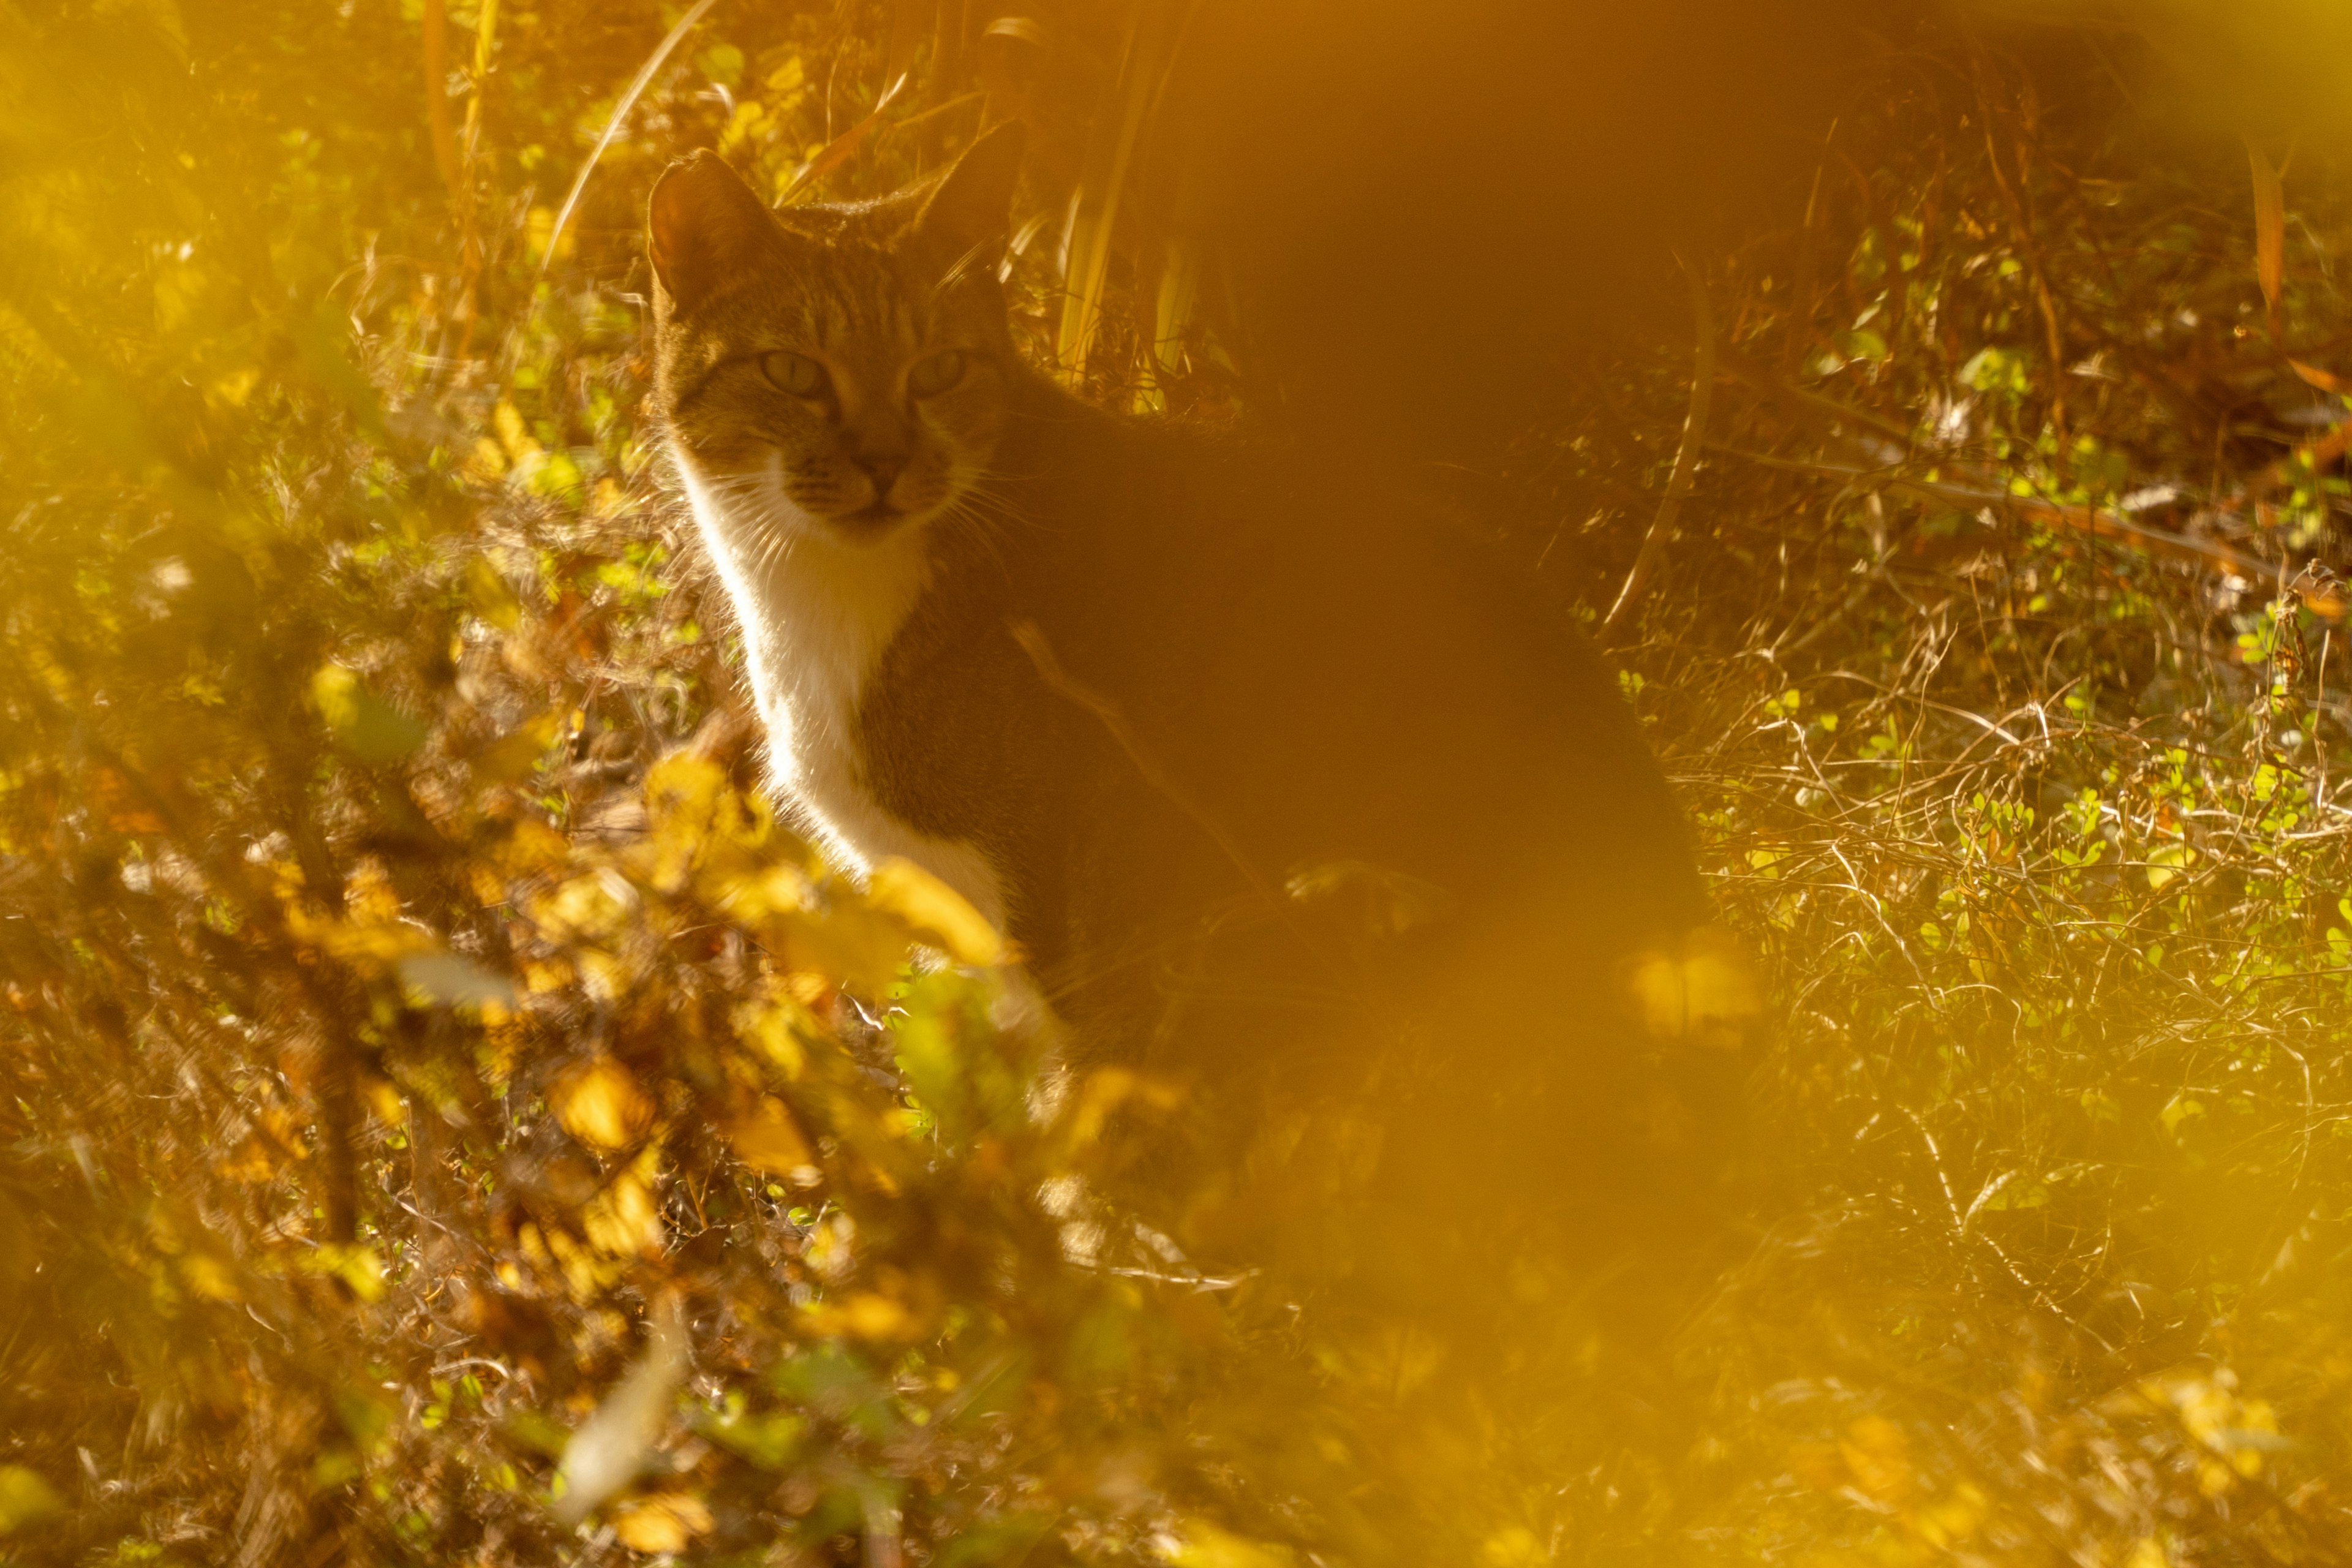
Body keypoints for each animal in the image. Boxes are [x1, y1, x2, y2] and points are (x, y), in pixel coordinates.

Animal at [654, 129, 1740, 1288]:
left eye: (938, 370)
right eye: (793, 372)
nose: (883, 463)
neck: (825, 603)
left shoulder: (1052, 919)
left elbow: (1073, 1119)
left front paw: (1064, 1269)